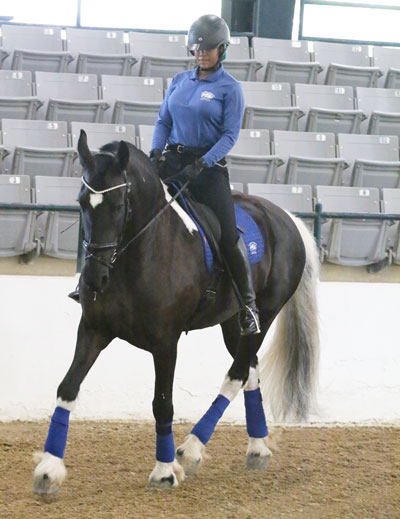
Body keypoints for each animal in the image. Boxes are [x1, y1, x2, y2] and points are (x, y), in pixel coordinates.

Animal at [32, 131, 318, 496]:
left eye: (118, 205)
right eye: (82, 202)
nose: (94, 279)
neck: (139, 253)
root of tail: (286, 218)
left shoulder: (166, 342)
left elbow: (162, 403)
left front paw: (165, 471)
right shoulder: (94, 329)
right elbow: (68, 387)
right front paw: (49, 468)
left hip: (262, 317)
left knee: (237, 373)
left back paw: (193, 449)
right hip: (232, 324)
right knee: (250, 370)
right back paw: (257, 448)